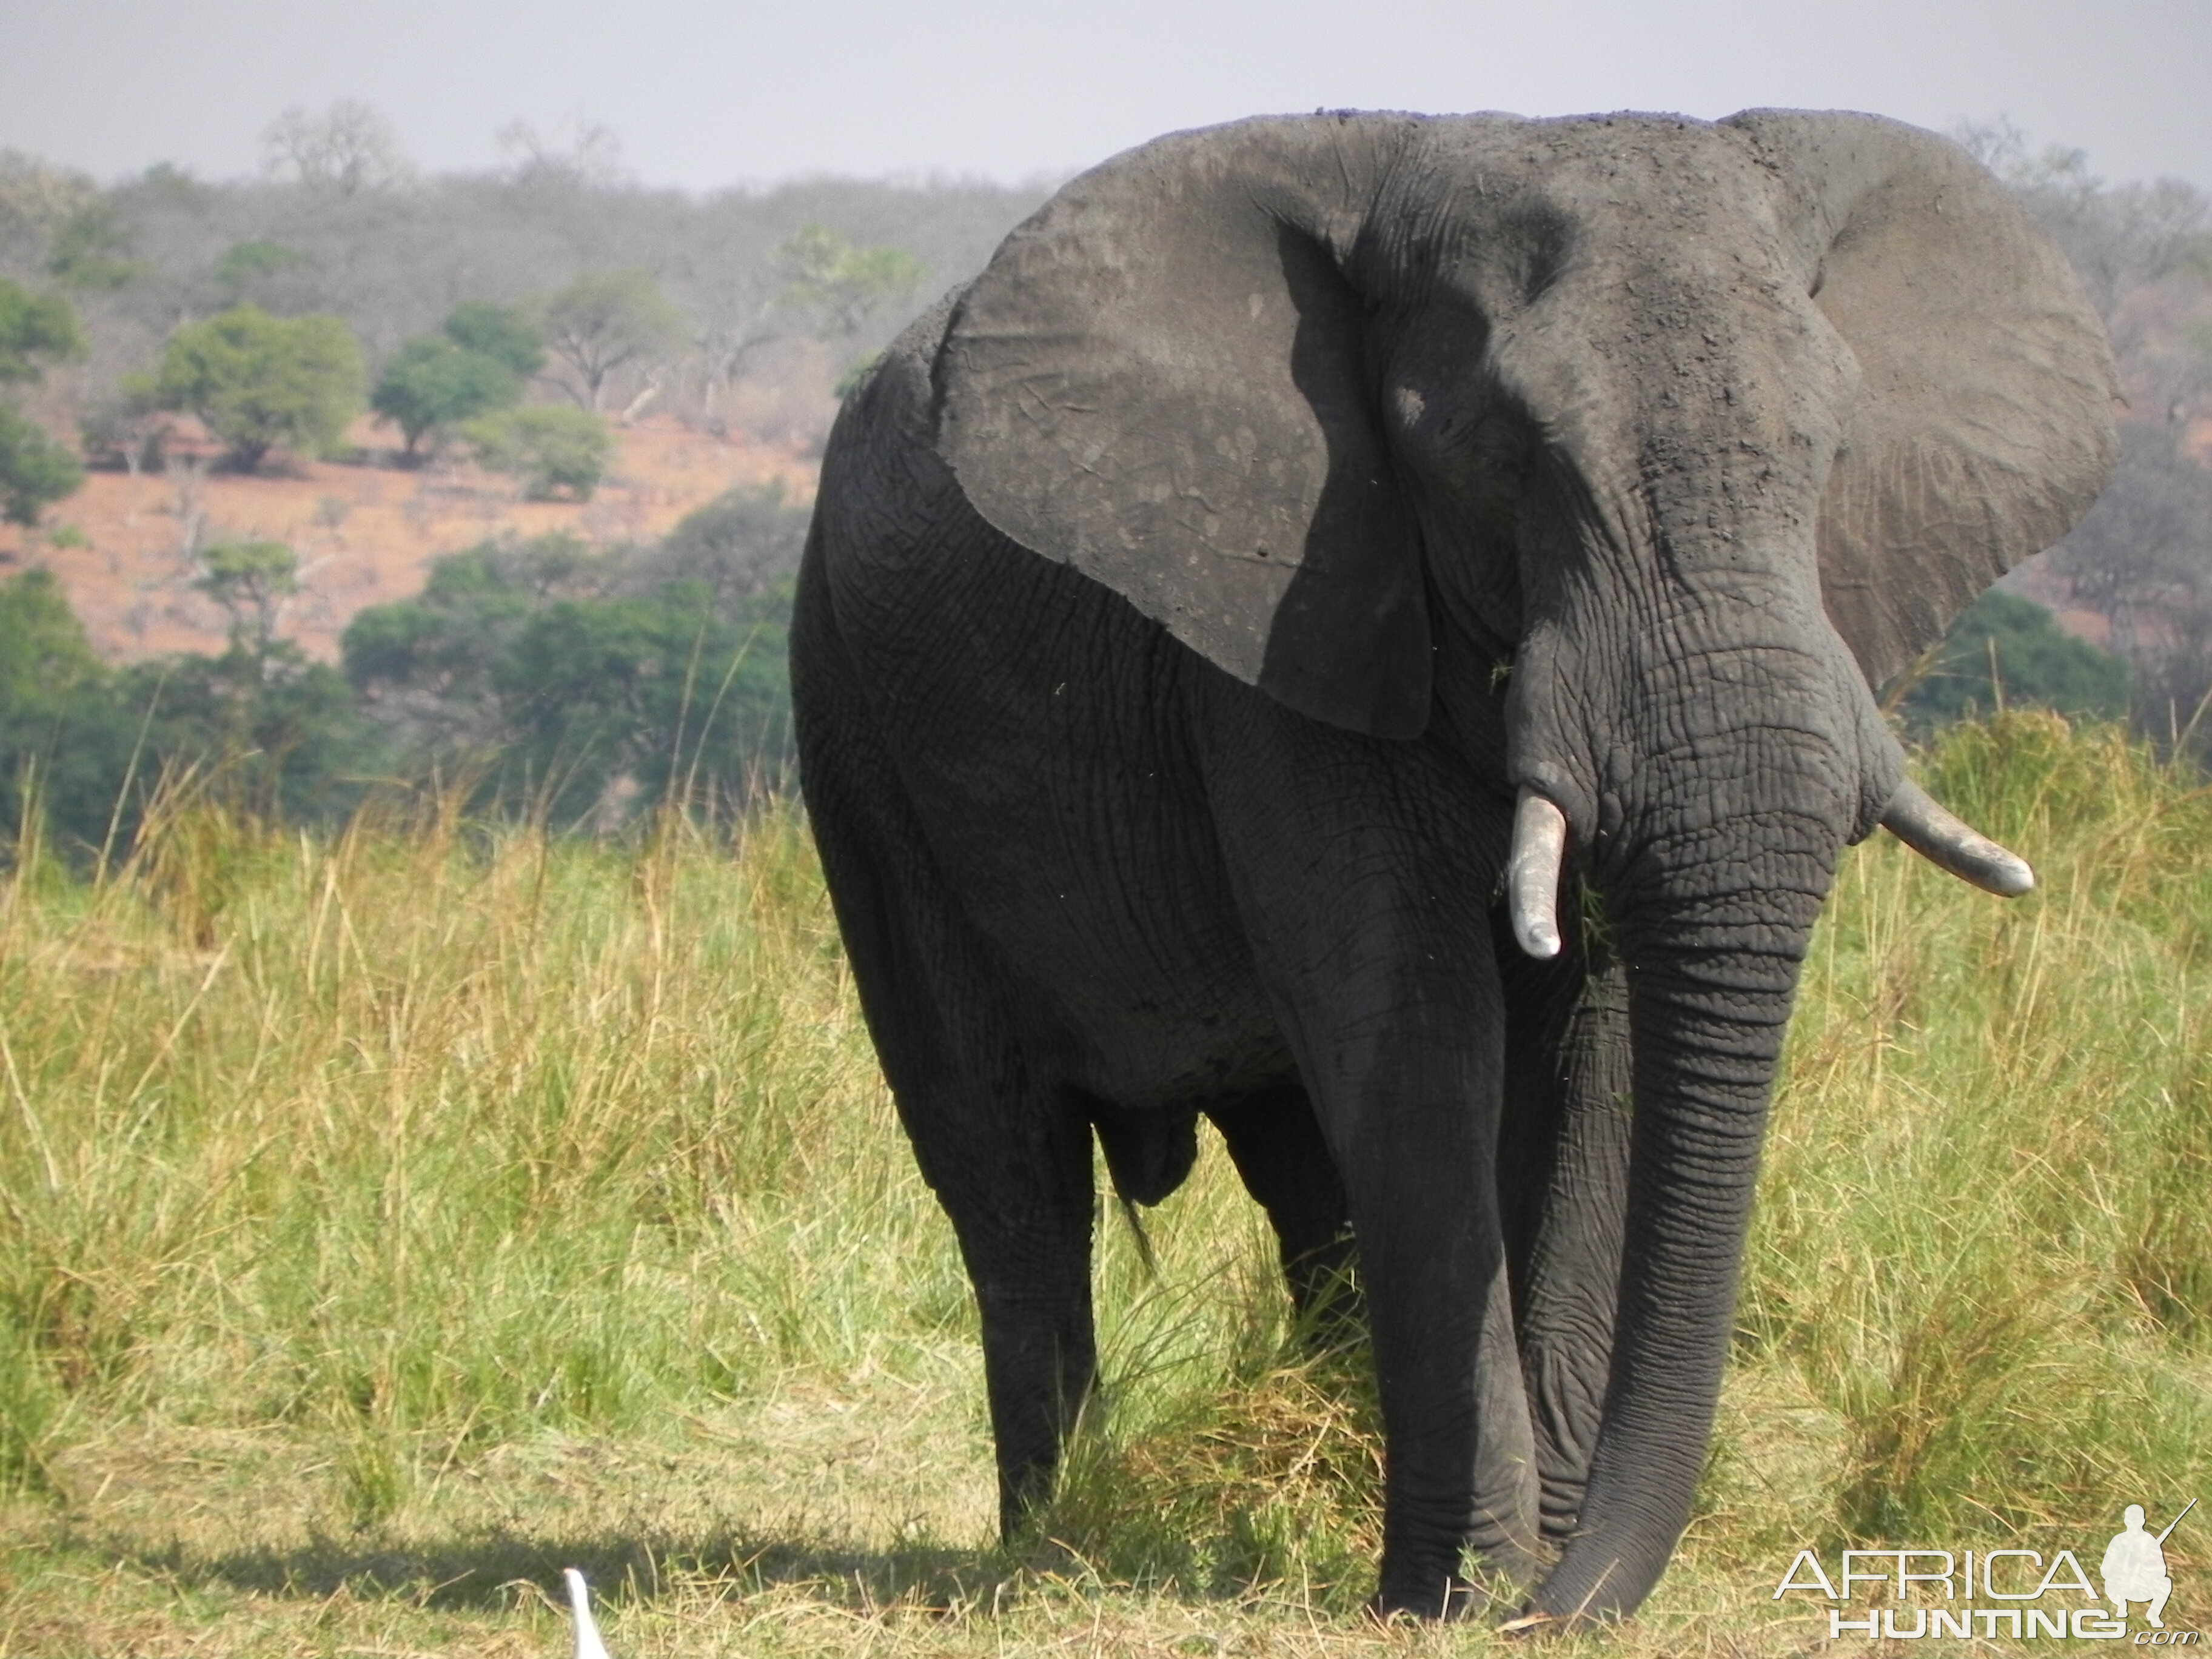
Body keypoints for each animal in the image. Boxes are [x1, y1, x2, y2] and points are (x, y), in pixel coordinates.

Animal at [787, 110, 2114, 1627]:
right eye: (1503, 458)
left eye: (1833, 457)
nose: (1575, 1600)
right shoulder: (1292, 618)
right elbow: (1417, 1039)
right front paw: (1468, 1598)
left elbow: (1599, 1054)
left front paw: (1521, 1572)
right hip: (854, 728)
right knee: (1009, 1174)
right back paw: (1056, 1544)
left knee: (1300, 1173)